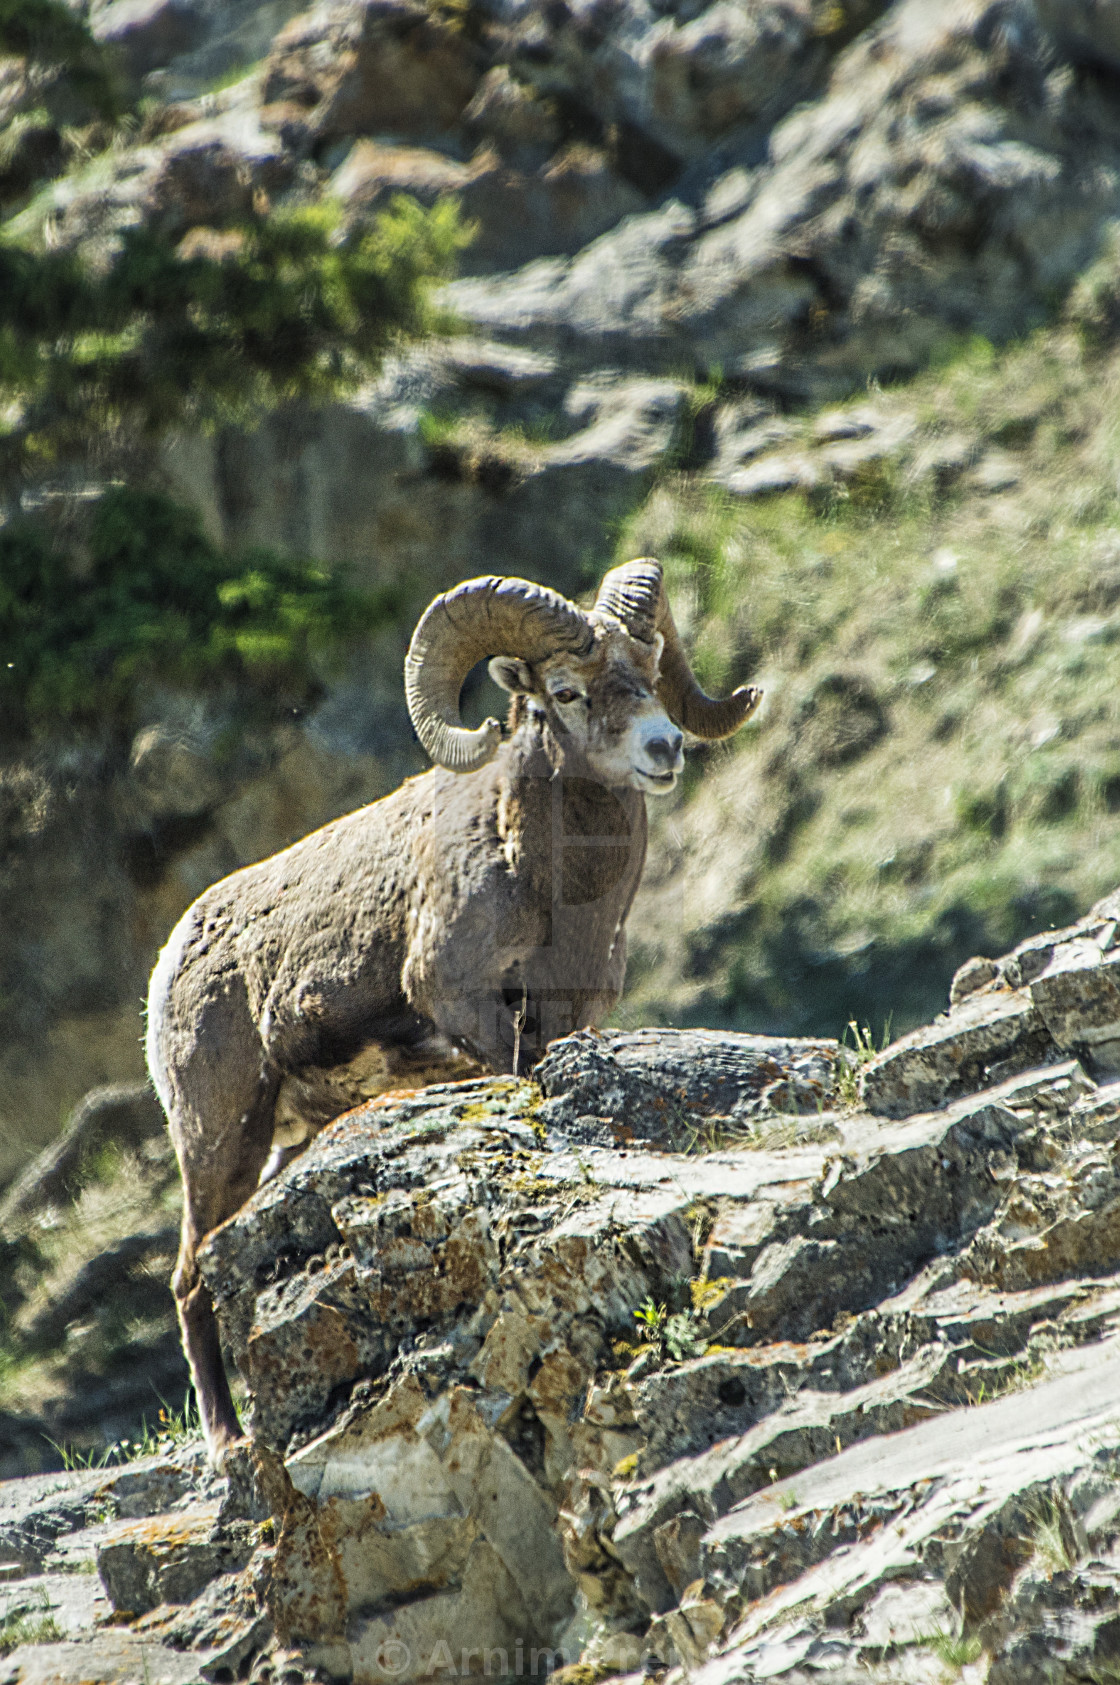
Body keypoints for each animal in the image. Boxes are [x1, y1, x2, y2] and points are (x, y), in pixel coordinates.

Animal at [146, 559, 761, 1455]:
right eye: (566, 691)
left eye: (650, 672)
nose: (663, 747)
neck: (552, 884)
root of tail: (175, 959)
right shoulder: (470, 1009)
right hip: (220, 1133)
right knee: (192, 1276)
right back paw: (230, 1441)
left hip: (281, 1140)